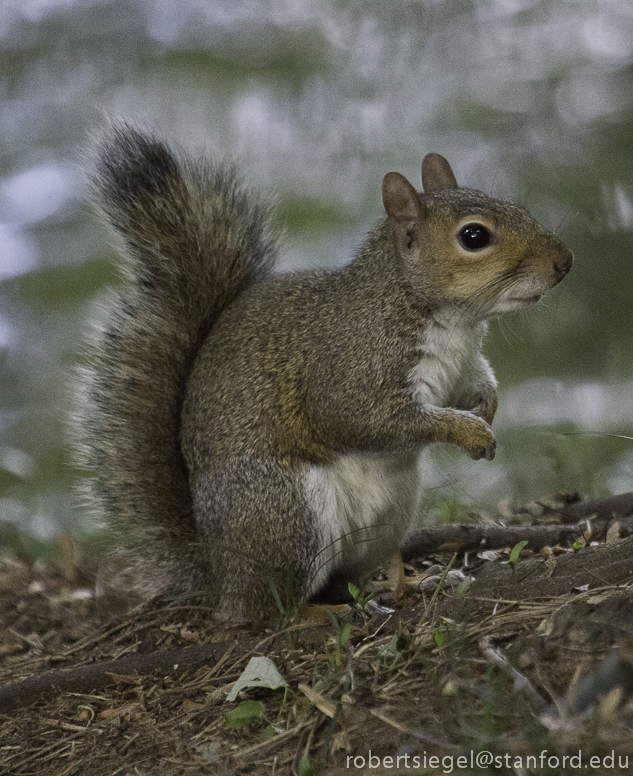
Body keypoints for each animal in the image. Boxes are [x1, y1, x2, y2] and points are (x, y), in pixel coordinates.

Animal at [78, 121, 572, 623]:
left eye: (515, 207)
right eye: (474, 237)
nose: (564, 262)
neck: (448, 321)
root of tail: (220, 573)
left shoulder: (464, 364)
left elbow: (478, 385)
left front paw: (485, 409)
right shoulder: (352, 369)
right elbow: (361, 419)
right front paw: (468, 431)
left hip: (390, 513)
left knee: (376, 561)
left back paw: (411, 583)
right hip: (286, 515)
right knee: (269, 609)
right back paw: (319, 614)